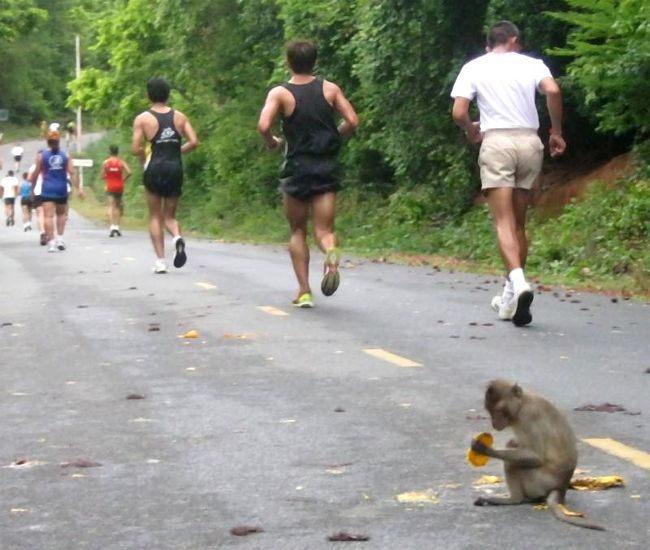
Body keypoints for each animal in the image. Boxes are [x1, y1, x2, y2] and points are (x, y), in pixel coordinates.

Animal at [468, 382, 604, 532]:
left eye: (498, 410)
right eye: (490, 410)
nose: (494, 423)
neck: (523, 402)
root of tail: (561, 488)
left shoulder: (528, 416)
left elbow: (536, 457)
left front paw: (486, 450)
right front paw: (512, 442)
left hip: (539, 482)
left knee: (512, 463)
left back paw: (514, 499)